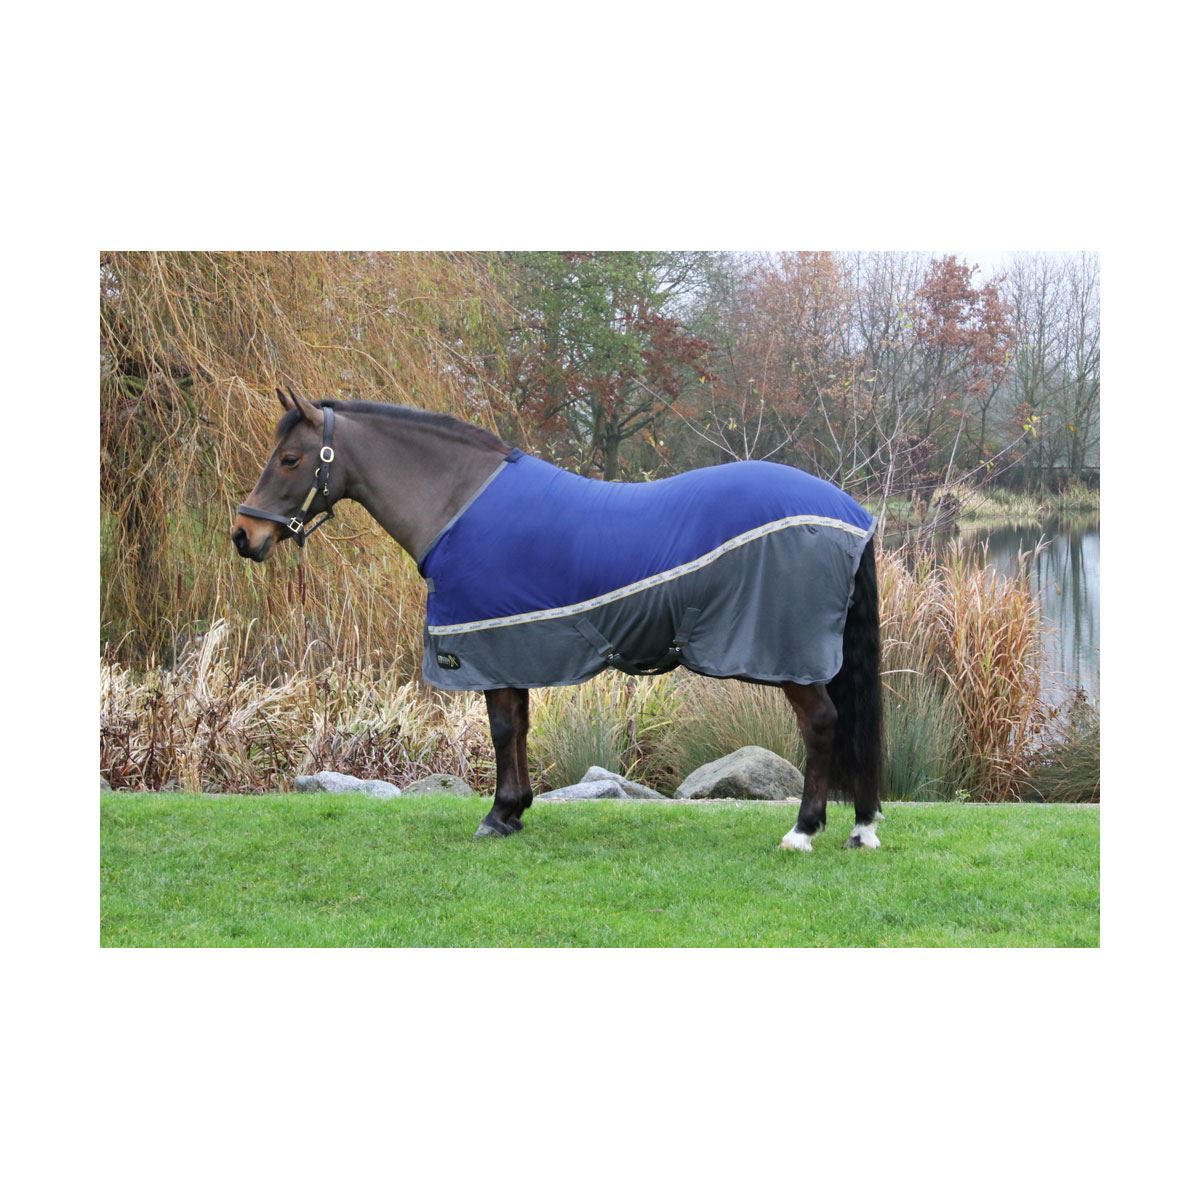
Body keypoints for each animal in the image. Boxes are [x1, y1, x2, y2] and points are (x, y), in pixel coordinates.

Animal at [233, 389, 884, 851]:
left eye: (289, 459)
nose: (244, 535)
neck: (458, 506)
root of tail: (851, 512)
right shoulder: (511, 645)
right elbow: (519, 728)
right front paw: (515, 809)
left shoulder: (485, 648)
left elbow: (501, 730)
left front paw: (497, 815)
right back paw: (860, 827)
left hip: (789, 658)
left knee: (822, 724)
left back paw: (803, 830)